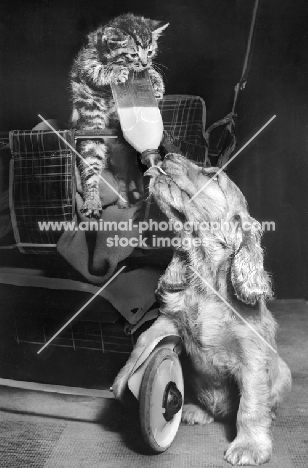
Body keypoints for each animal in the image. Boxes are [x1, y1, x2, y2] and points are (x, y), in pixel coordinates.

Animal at [70, 13, 168, 218]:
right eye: (133, 54)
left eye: (150, 52)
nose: (145, 62)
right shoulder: (86, 62)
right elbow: (97, 70)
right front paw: (115, 72)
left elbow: (149, 73)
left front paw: (156, 82)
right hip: (92, 132)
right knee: (90, 169)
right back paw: (92, 201)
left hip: (122, 154)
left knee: (123, 178)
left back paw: (124, 201)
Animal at [113, 153, 292, 464]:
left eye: (212, 175)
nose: (169, 155)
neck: (206, 282)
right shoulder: (169, 319)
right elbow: (143, 342)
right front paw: (123, 380)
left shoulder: (253, 354)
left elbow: (251, 404)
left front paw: (250, 446)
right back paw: (196, 410)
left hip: (284, 372)